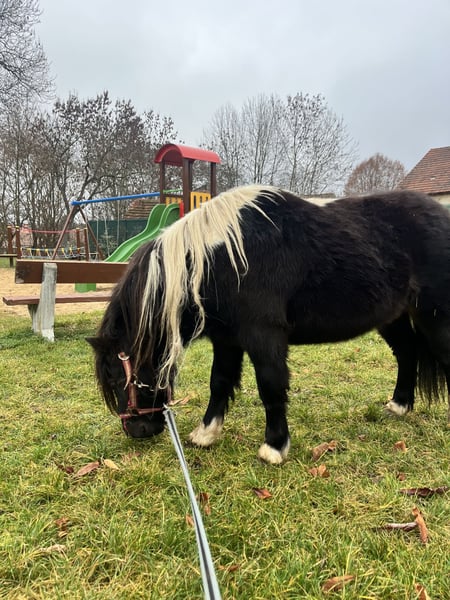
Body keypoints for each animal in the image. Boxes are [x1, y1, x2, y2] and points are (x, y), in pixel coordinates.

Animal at [88, 185, 450, 464]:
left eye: (117, 375)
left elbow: (271, 386)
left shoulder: (264, 337)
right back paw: (399, 406)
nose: (138, 431)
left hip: (435, 317)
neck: (223, 259)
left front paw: (274, 447)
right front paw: (206, 434)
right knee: (407, 355)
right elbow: (219, 382)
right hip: (393, 318)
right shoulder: (227, 340)